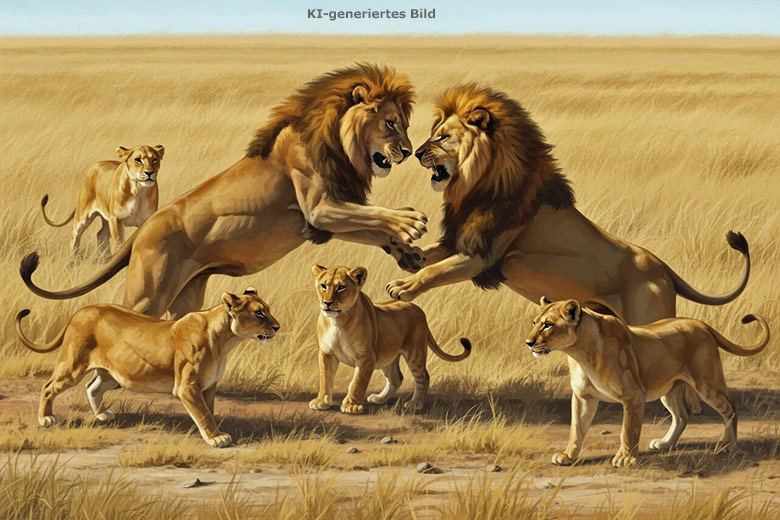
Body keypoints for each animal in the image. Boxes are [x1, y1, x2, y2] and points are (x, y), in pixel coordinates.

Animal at [15, 288, 279, 448]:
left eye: (268, 308)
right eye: (259, 313)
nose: (277, 327)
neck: (225, 340)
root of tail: (82, 310)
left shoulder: (209, 385)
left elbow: (209, 410)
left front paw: (214, 431)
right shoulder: (187, 387)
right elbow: (203, 413)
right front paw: (217, 438)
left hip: (114, 373)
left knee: (92, 386)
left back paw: (102, 414)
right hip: (73, 366)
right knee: (48, 386)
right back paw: (46, 418)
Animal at [21, 63, 428, 321]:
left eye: (404, 125)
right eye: (391, 124)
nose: (409, 152)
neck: (337, 143)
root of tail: (144, 230)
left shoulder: (321, 222)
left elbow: (370, 229)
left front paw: (409, 255)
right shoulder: (320, 208)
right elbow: (375, 214)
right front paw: (410, 222)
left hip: (185, 295)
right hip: (148, 293)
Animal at [309, 264, 471, 414]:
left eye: (341, 287)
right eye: (323, 285)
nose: (327, 303)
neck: (338, 321)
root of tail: (417, 308)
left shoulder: (366, 357)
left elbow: (357, 382)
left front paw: (352, 405)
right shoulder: (327, 353)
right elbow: (325, 378)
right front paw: (321, 402)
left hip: (414, 353)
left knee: (423, 376)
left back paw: (415, 403)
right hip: (386, 357)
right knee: (396, 378)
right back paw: (380, 399)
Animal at [524, 297, 769, 467]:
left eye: (548, 325)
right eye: (535, 322)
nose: (528, 342)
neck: (579, 354)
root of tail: (701, 324)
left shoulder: (634, 395)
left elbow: (628, 430)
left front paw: (625, 458)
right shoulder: (584, 397)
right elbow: (576, 428)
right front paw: (568, 456)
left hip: (706, 382)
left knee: (730, 407)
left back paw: (727, 444)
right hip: (670, 389)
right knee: (682, 414)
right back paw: (665, 443)